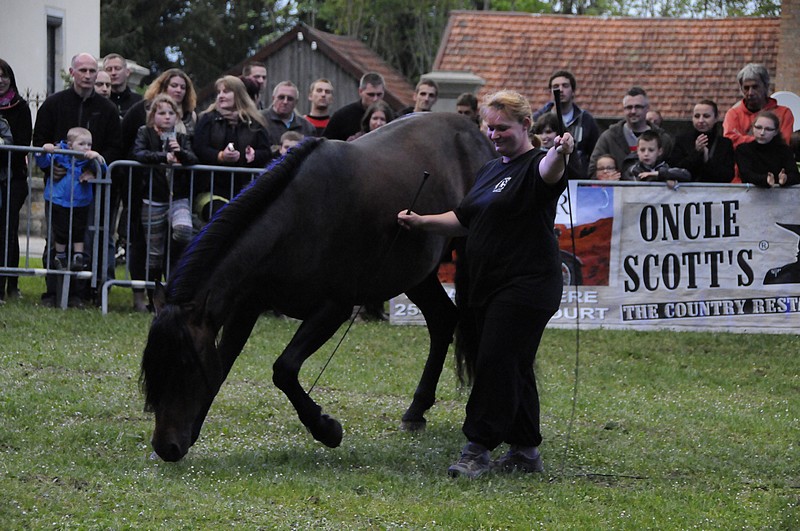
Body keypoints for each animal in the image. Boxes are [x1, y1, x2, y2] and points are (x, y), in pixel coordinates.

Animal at [140, 112, 495, 461]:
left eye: (186, 365)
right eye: (154, 367)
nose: (165, 447)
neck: (295, 221)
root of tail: (479, 134)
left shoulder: (333, 308)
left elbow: (283, 369)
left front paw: (327, 429)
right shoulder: (246, 307)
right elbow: (222, 365)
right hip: (417, 274)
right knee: (442, 320)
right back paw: (416, 411)